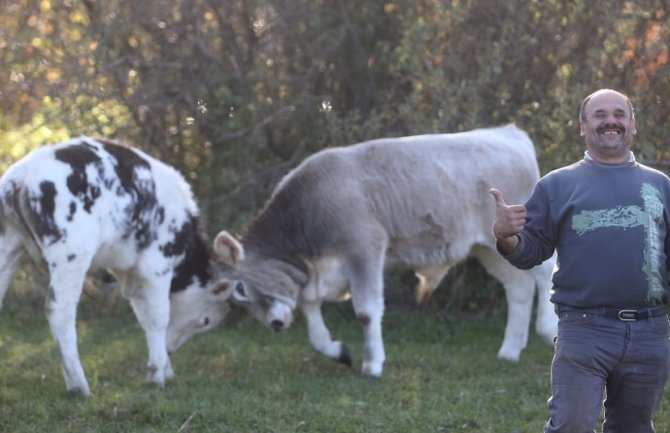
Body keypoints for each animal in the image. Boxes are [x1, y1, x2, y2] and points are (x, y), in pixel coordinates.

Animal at [0, 138, 234, 394]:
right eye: (206, 321)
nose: (171, 349)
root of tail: (22, 175)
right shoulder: (157, 266)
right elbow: (159, 316)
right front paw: (157, 375)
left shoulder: (133, 273)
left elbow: (144, 318)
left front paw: (163, 368)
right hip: (71, 253)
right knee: (60, 310)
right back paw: (79, 386)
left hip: (9, 247)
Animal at [202, 123, 560, 376]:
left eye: (241, 289)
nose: (275, 324)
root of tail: (508, 132)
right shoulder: (318, 272)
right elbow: (312, 318)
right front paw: (338, 351)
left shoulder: (365, 247)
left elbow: (365, 311)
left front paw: (372, 365)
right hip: (492, 247)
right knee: (518, 288)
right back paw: (509, 351)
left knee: (545, 273)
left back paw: (549, 328)